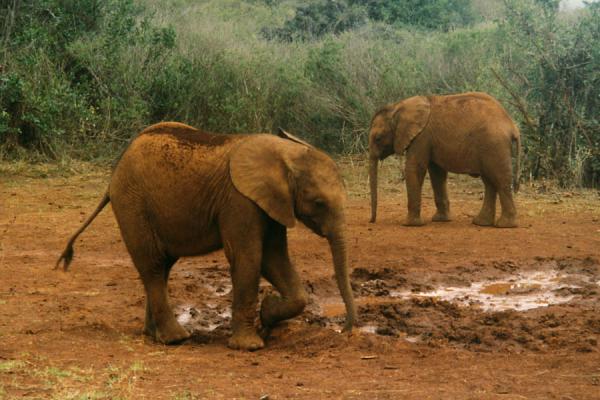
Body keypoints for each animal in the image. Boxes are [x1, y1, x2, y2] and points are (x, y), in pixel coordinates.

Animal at [55, 122, 356, 350]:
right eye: (319, 203)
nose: (347, 330)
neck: (284, 152)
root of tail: (113, 176)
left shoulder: (271, 204)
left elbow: (274, 258)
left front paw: (267, 314)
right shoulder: (238, 200)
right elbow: (248, 257)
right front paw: (250, 345)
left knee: (162, 267)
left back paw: (153, 335)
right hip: (132, 205)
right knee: (152, 265)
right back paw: (176, 339)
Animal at [368, 91, 516, 228]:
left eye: (378, 138)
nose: (372, 221)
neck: (397, 107)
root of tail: (511, 125)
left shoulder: (421, 136)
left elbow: (415, 168)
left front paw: (410, 225)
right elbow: (437, 174)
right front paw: (441, 220)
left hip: (495, 145)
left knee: (500, 179)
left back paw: (505, 225)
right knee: (489, 182)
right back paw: (481, 223)